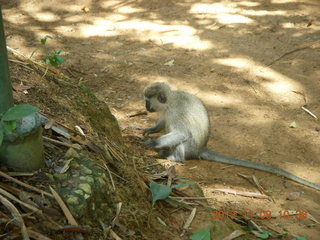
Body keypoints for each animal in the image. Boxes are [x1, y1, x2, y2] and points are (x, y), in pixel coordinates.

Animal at [144, 81, 320, 190]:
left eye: (147, 101)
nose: (146, 107)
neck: (169, 102)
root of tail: (202, 149)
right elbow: (163, 122)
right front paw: (151, 130)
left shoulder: (177, 111)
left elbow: (181, 132)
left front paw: (152, 143)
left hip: (191, 149)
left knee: (183, 140)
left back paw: (173, 157)